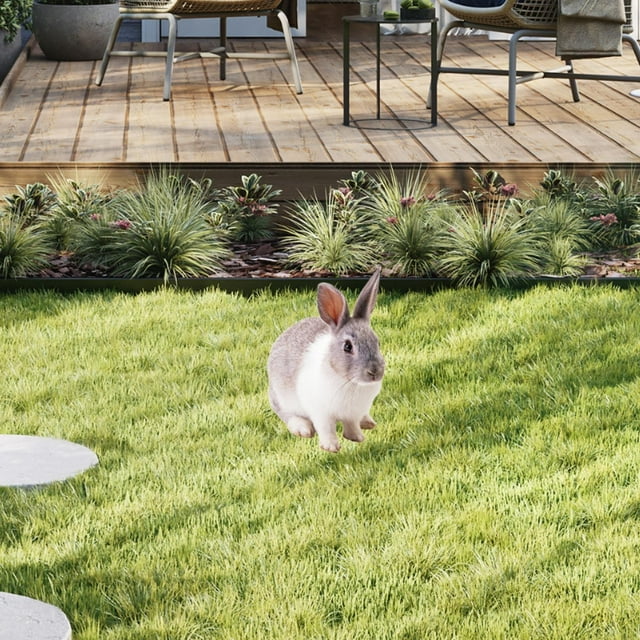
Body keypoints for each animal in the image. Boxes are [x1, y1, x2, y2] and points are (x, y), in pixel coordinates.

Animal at [267, 267, 385, 453]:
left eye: (377, 342)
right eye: (347, 347)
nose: (375, 372)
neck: (350, 382)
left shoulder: (353, 413)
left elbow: (352, 425)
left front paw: (357, 438)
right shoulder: (321, 413)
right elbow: (326, 428)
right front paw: (331, 447)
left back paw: (368, 422)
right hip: (281, 398)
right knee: (286, 414)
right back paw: (303, 429)